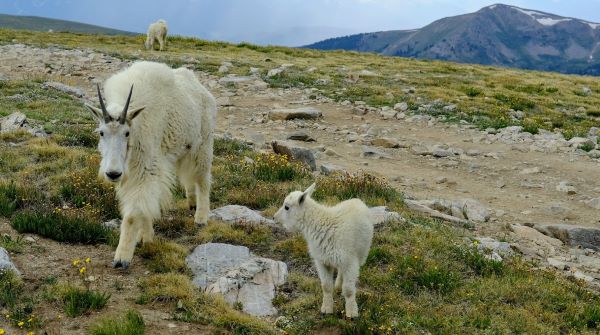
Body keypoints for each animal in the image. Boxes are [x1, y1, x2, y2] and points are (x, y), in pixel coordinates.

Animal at [84, 61, 216, 270]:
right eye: (101, 133)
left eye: (127, 133)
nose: (113, 173)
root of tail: (202, 89)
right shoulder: (131, 173)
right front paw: (145, 238)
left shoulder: (147, 168)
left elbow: (134, 212)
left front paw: (122, 258)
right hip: (182, 149)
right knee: (188, 177)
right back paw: (191, 202)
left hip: (203, 145)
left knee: (202, 179)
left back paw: (201, 218)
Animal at [274, 184, 372, 318]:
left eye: (286, 207)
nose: (274, 217)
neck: (321, 224)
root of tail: (356, 200)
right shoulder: (322, 261)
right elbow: (326, 286)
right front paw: (326, 309)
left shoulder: (350, 261)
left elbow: (349, 289)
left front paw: (352, 312)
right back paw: (338, 285)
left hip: (361, 253)